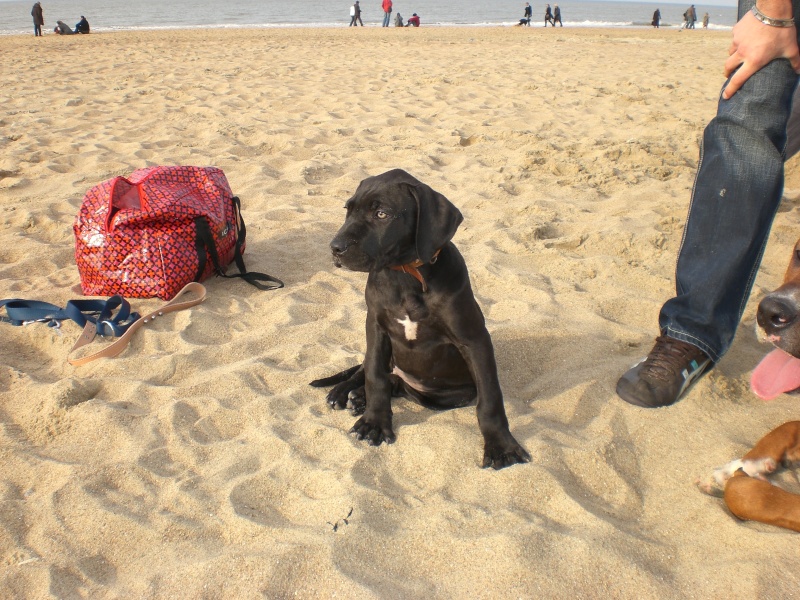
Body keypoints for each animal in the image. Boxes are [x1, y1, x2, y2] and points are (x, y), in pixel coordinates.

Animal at [312, 169, 532, 468]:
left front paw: (501, 446)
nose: (335, 248)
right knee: (368, 370)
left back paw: (359, 397)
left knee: (399, 385)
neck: (405, 275)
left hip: (446, 395)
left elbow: (490, 398)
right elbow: (374, 376)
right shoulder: (376, 328)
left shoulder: (474, 340)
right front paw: (373, 422)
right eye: (348, 210)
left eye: (381, 213)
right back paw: (345, 393)